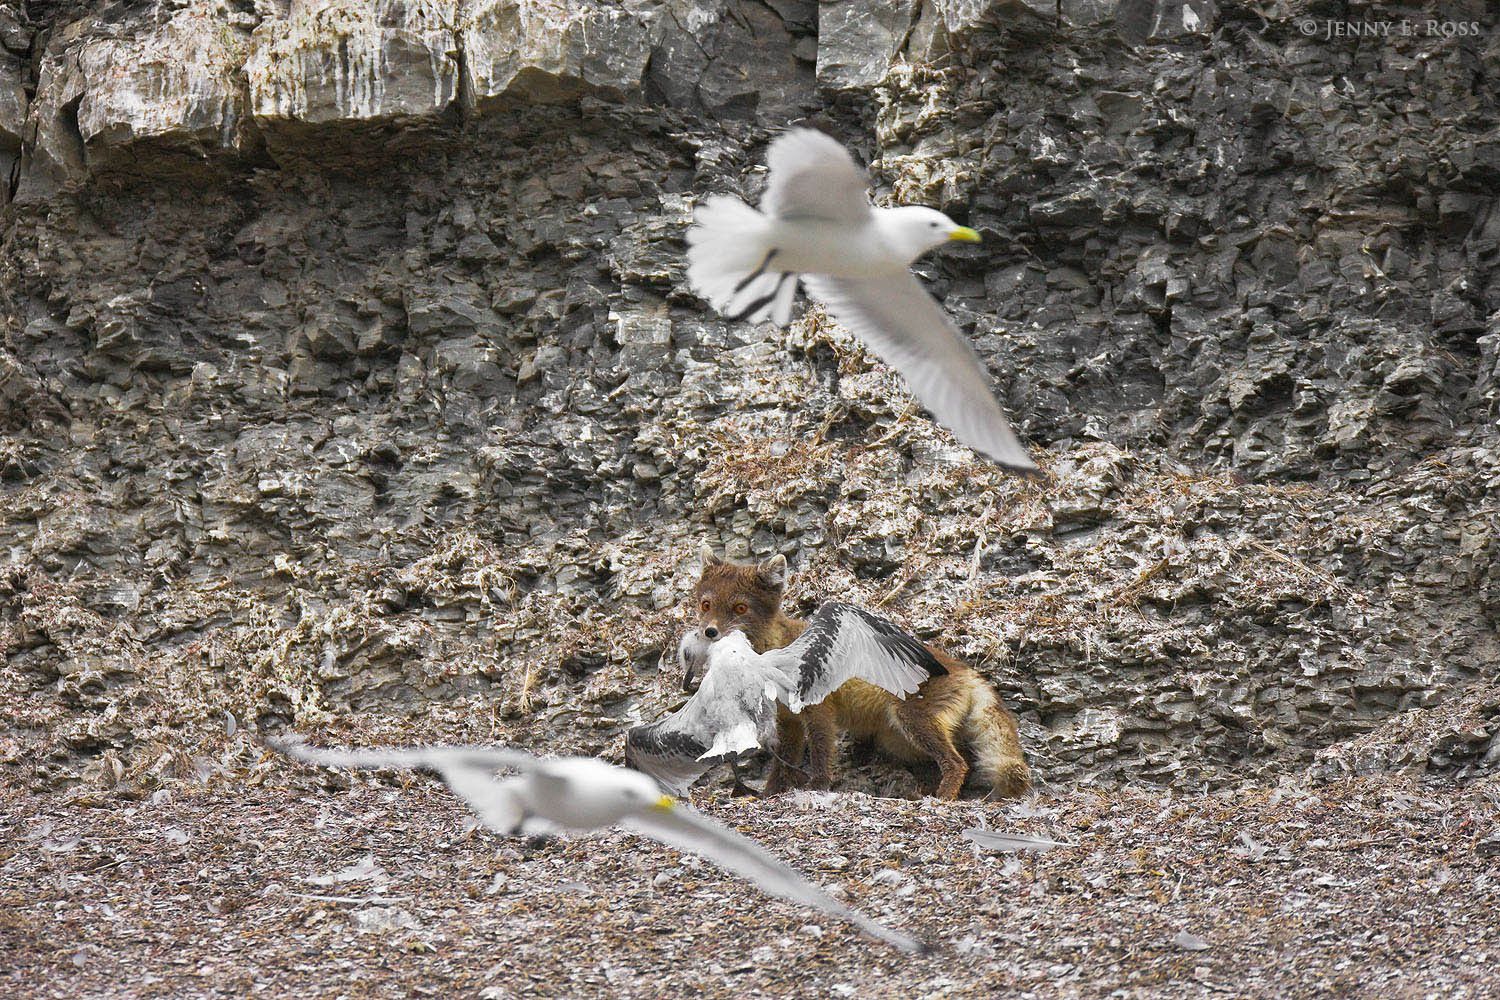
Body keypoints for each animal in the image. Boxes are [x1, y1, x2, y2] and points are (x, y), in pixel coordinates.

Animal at [688, 546, 1031, 800]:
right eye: (706, 605)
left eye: (740, 608)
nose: (709, 632)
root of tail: (969, 672)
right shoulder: (789, 721)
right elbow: (782, 766)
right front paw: (770, 795)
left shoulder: (818, 711)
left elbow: (821, 755)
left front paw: (817, 789)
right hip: (904, 740)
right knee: (958, 763)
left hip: (913, 722)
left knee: (957, 763)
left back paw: (942, 798)